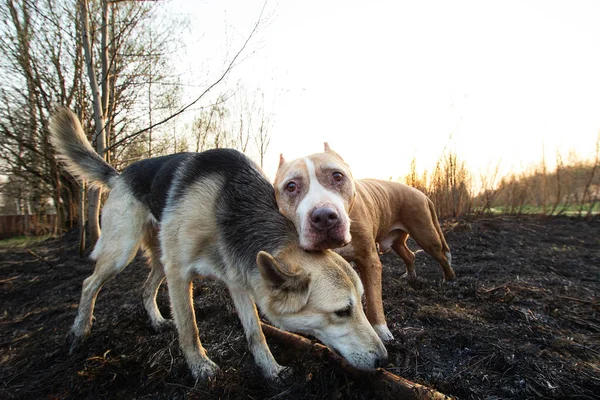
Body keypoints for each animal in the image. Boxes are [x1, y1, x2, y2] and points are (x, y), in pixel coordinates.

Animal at [52, 108, 390, 382]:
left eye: (361, 303)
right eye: (342, 311)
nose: (384, 360)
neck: (230, 208)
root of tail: (120, 173)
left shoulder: (240, 280)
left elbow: (255, 334)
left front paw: (271, 370)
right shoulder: (180, 274)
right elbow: (190, 328)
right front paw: (201, 368)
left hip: (161, 258)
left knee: (146, 288)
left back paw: (157, 321)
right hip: (124, 250)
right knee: (89, 283)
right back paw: (79, 332)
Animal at [274, 144, 458, 340]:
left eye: (337, 176)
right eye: (291, 186)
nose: (324, 216)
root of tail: (421, 193)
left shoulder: (369, 260)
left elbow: (374, 297)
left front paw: (381, 330)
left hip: (426, 234)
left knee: (441, 256)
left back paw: (450, 279)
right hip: (397, 241)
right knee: (409, 255)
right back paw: (410, 276)